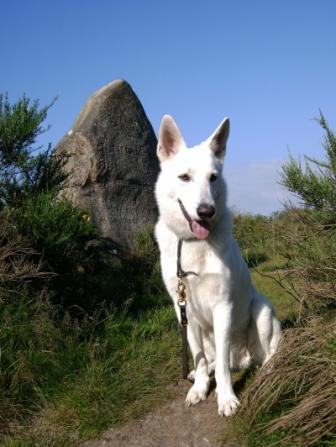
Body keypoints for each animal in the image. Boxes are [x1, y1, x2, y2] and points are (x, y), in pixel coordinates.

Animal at [155, 114, 280, 416]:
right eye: (184, 177)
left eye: (212, 177)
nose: (206, 211)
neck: (192, 243)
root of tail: (243, 358)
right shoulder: (183, 310)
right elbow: (198, 359)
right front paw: (199, 388)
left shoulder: (222, 306)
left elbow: (222, 367)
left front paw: (225, 398)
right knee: (211, 359)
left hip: (261, 311)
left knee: (266, 354)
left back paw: (267, 368)